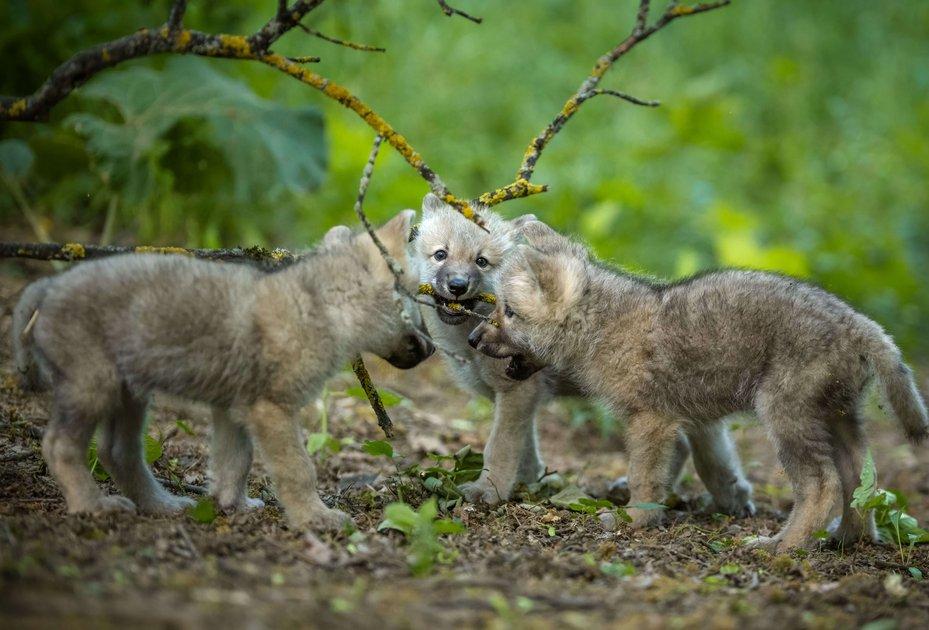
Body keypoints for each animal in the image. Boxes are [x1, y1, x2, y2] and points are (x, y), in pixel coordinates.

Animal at [11, 211, 433, 532]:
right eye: (414, 303)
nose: (431, 350)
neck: (321, 307)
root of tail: (47, 286)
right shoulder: (272, 408)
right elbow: (298, 470)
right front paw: (316, 518)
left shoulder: (235, 407)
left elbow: (235, 462)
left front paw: (233, 506)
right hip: (94, 387)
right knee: (60, 445)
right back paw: (92, 506)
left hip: (129, 392)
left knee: (119, 453)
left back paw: (162, 505)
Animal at [414, 195, 755, 516]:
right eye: (441, 254)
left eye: (482, 261)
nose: (457, 285)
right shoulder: (510, 398)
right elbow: (527, 452)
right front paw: (530, 484)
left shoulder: (518, 393)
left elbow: (499, 448)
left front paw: (489, 490)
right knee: (703, 450)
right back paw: (731, 498)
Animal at [468, 221, 928, 550]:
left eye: (509, 312)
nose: (472, 339)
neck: (601, 327)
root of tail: (860, 325)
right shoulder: (679, 422)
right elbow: (685, 467)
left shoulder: (651, 421)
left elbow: (645, 477)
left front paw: (633, 520)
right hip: (837, 417)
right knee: (861, 479)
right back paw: (847, 539)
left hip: (785, 415)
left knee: (822, 485)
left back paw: (782, 545)